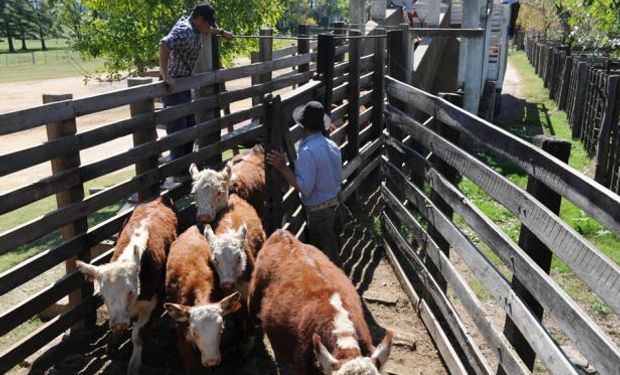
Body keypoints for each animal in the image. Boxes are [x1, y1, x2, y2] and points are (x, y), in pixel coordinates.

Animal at [75, 197, 177, 375]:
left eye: (130, 292)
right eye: (102, 295)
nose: (119, 323)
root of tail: (159, 199)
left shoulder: (151, 303)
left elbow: (137, 335)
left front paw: (134, 365)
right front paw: (112, 345)